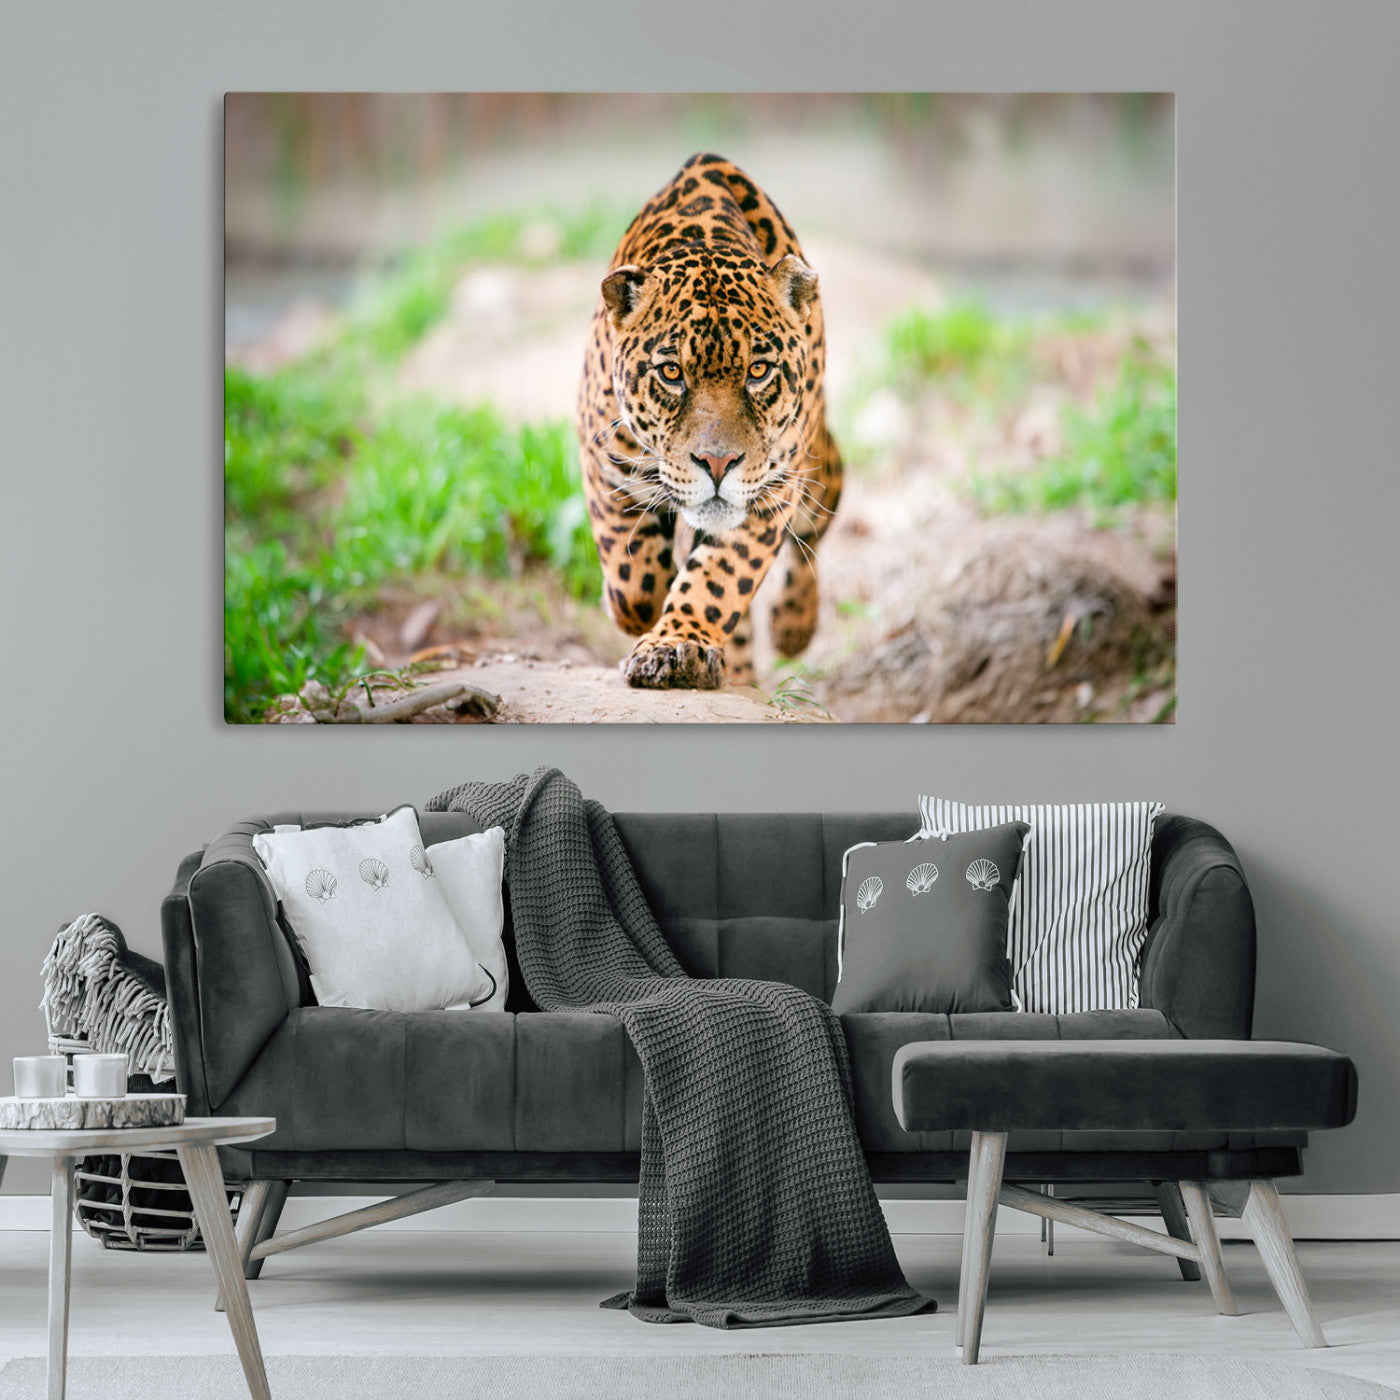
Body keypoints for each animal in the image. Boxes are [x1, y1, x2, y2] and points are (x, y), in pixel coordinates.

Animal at [575, 153, 843, 690]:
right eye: (671, 373)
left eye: (758, 371)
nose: (718, 464)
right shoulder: (602, 459)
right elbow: (632, 579)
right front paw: (638, 612)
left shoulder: (770, 491)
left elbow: (718, 579)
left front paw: (677, 645)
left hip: (817, 468)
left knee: (817, 521)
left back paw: (793, 627)